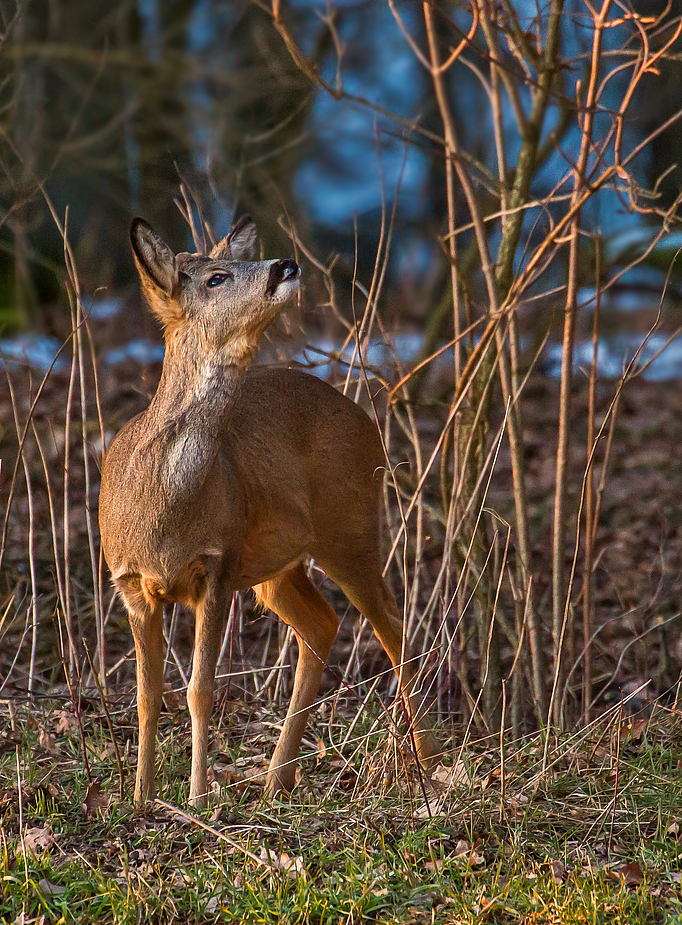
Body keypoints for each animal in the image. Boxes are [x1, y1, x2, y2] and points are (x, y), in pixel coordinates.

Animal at [98, 217, 436, 808]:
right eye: (216, 277)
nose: (285, 264)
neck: (161, 505)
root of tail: (362, 415)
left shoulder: (218, 565)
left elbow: (200, 689)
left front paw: (196, 798)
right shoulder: (130, 582)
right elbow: (146, 694)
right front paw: (140, 797)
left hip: (350, 525)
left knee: (393, 627)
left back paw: (429, 763)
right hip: (278, 569)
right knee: (322, 624)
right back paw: (278, 779)